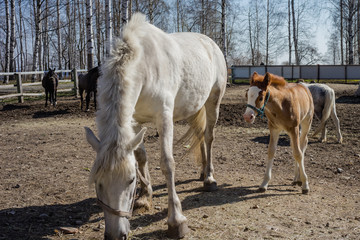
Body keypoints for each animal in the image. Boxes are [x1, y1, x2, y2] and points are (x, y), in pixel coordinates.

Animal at [84, 13, 226, 240]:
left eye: (130, 180)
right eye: (98, 182)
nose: (115, 235)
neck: (144, 68)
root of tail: (210, 43)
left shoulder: (164, 118)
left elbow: (167, 163)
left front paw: (176, 220)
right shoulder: (133, 122)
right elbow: (141, 156)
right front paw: (144, 197)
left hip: (213, 101)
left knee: (209, 137)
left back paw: (210, 179)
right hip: (194, 106)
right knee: (200, 135)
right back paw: (203, 172)